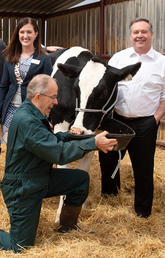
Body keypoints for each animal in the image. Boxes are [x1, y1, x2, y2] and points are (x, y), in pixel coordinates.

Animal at [49, 46, 141, 222]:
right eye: (76, 89)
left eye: (103, 93)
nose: (77, 130)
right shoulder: (59, 126)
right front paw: (59, 215)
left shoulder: (94, 133)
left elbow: (83, 169)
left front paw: (78, 205)